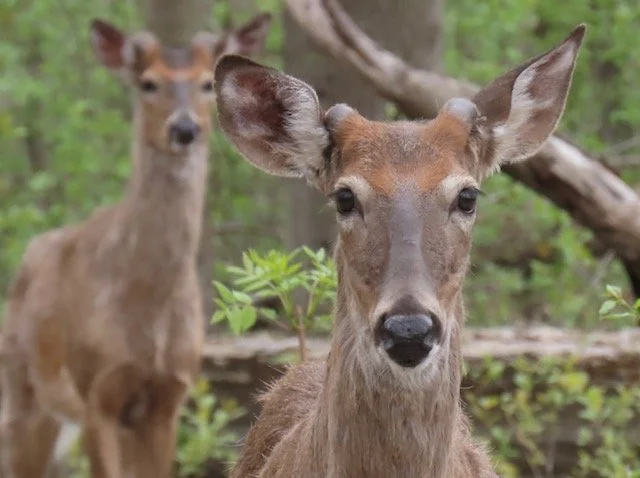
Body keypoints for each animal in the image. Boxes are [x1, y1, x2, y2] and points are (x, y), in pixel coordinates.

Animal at [0, 12, 271, 478]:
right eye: (148, 83)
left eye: (206, 82)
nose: (184, 129)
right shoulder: (96, 393)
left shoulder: (167, 398)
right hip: (22, 389)